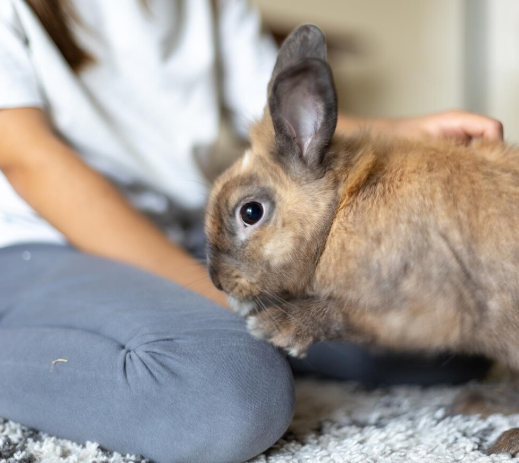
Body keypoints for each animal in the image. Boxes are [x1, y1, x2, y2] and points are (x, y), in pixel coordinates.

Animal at [204, 23, 519, 454]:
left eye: (250, 212)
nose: (217, 281)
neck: (338, 212)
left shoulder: (418, 309)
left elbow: (345, 315)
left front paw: (276, 327)